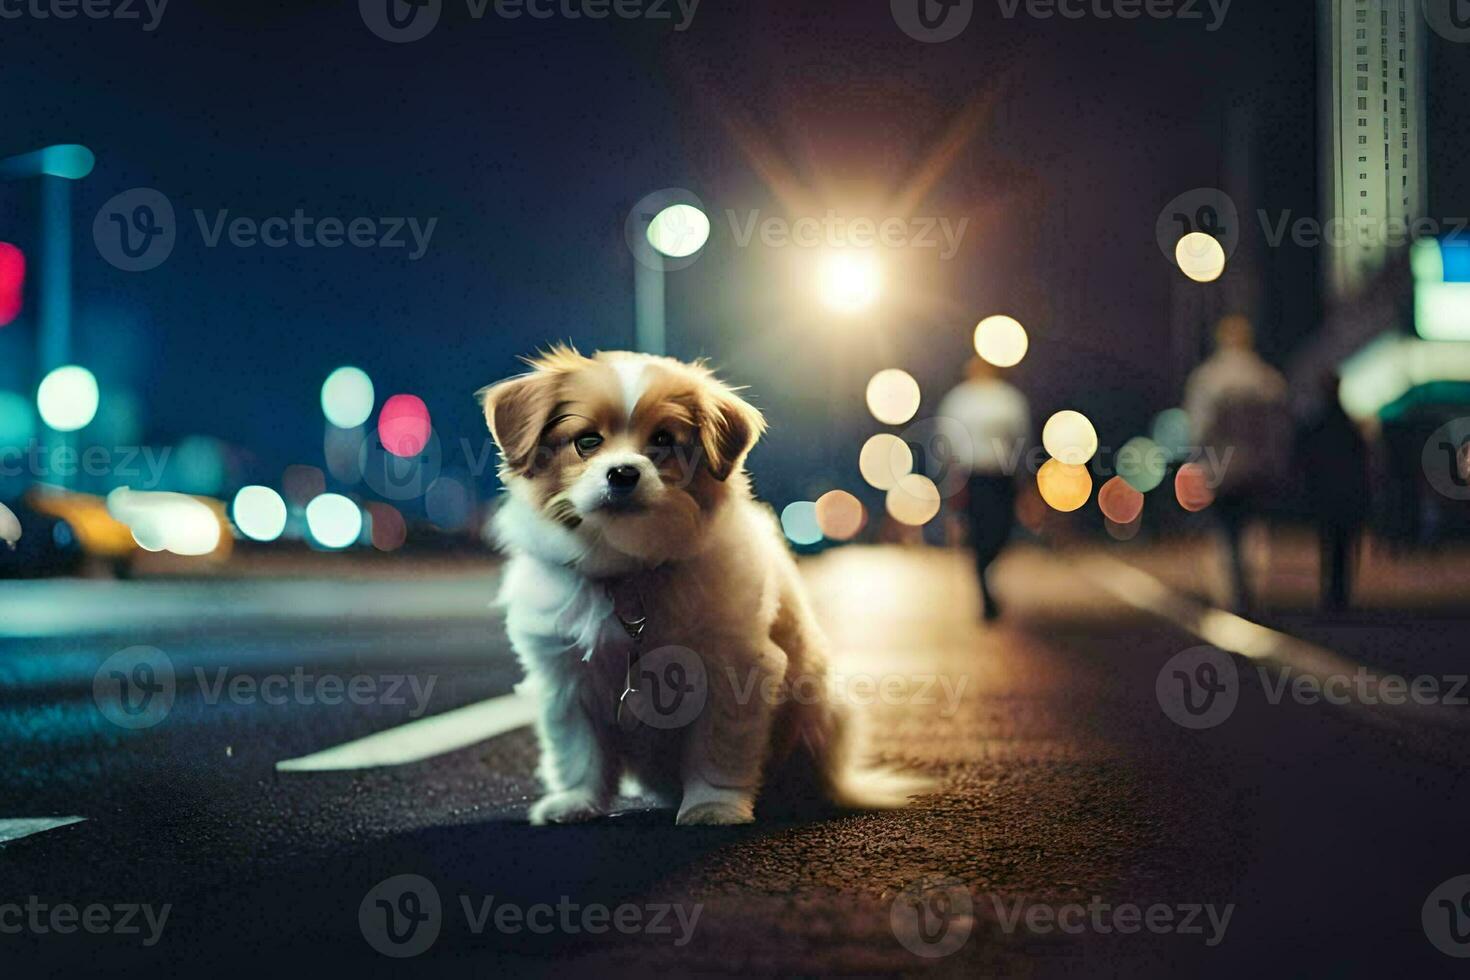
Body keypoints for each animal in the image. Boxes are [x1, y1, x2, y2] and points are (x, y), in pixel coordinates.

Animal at [479, 346, 929, 828]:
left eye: (662, 440)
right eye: (586, 442)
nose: (623, 473)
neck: (631, 573)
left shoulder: (732, 670)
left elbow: (718, 748)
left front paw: (712, 807)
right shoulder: (563, 677)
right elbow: (578, 749)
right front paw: (576, 801)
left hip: (824, 714)